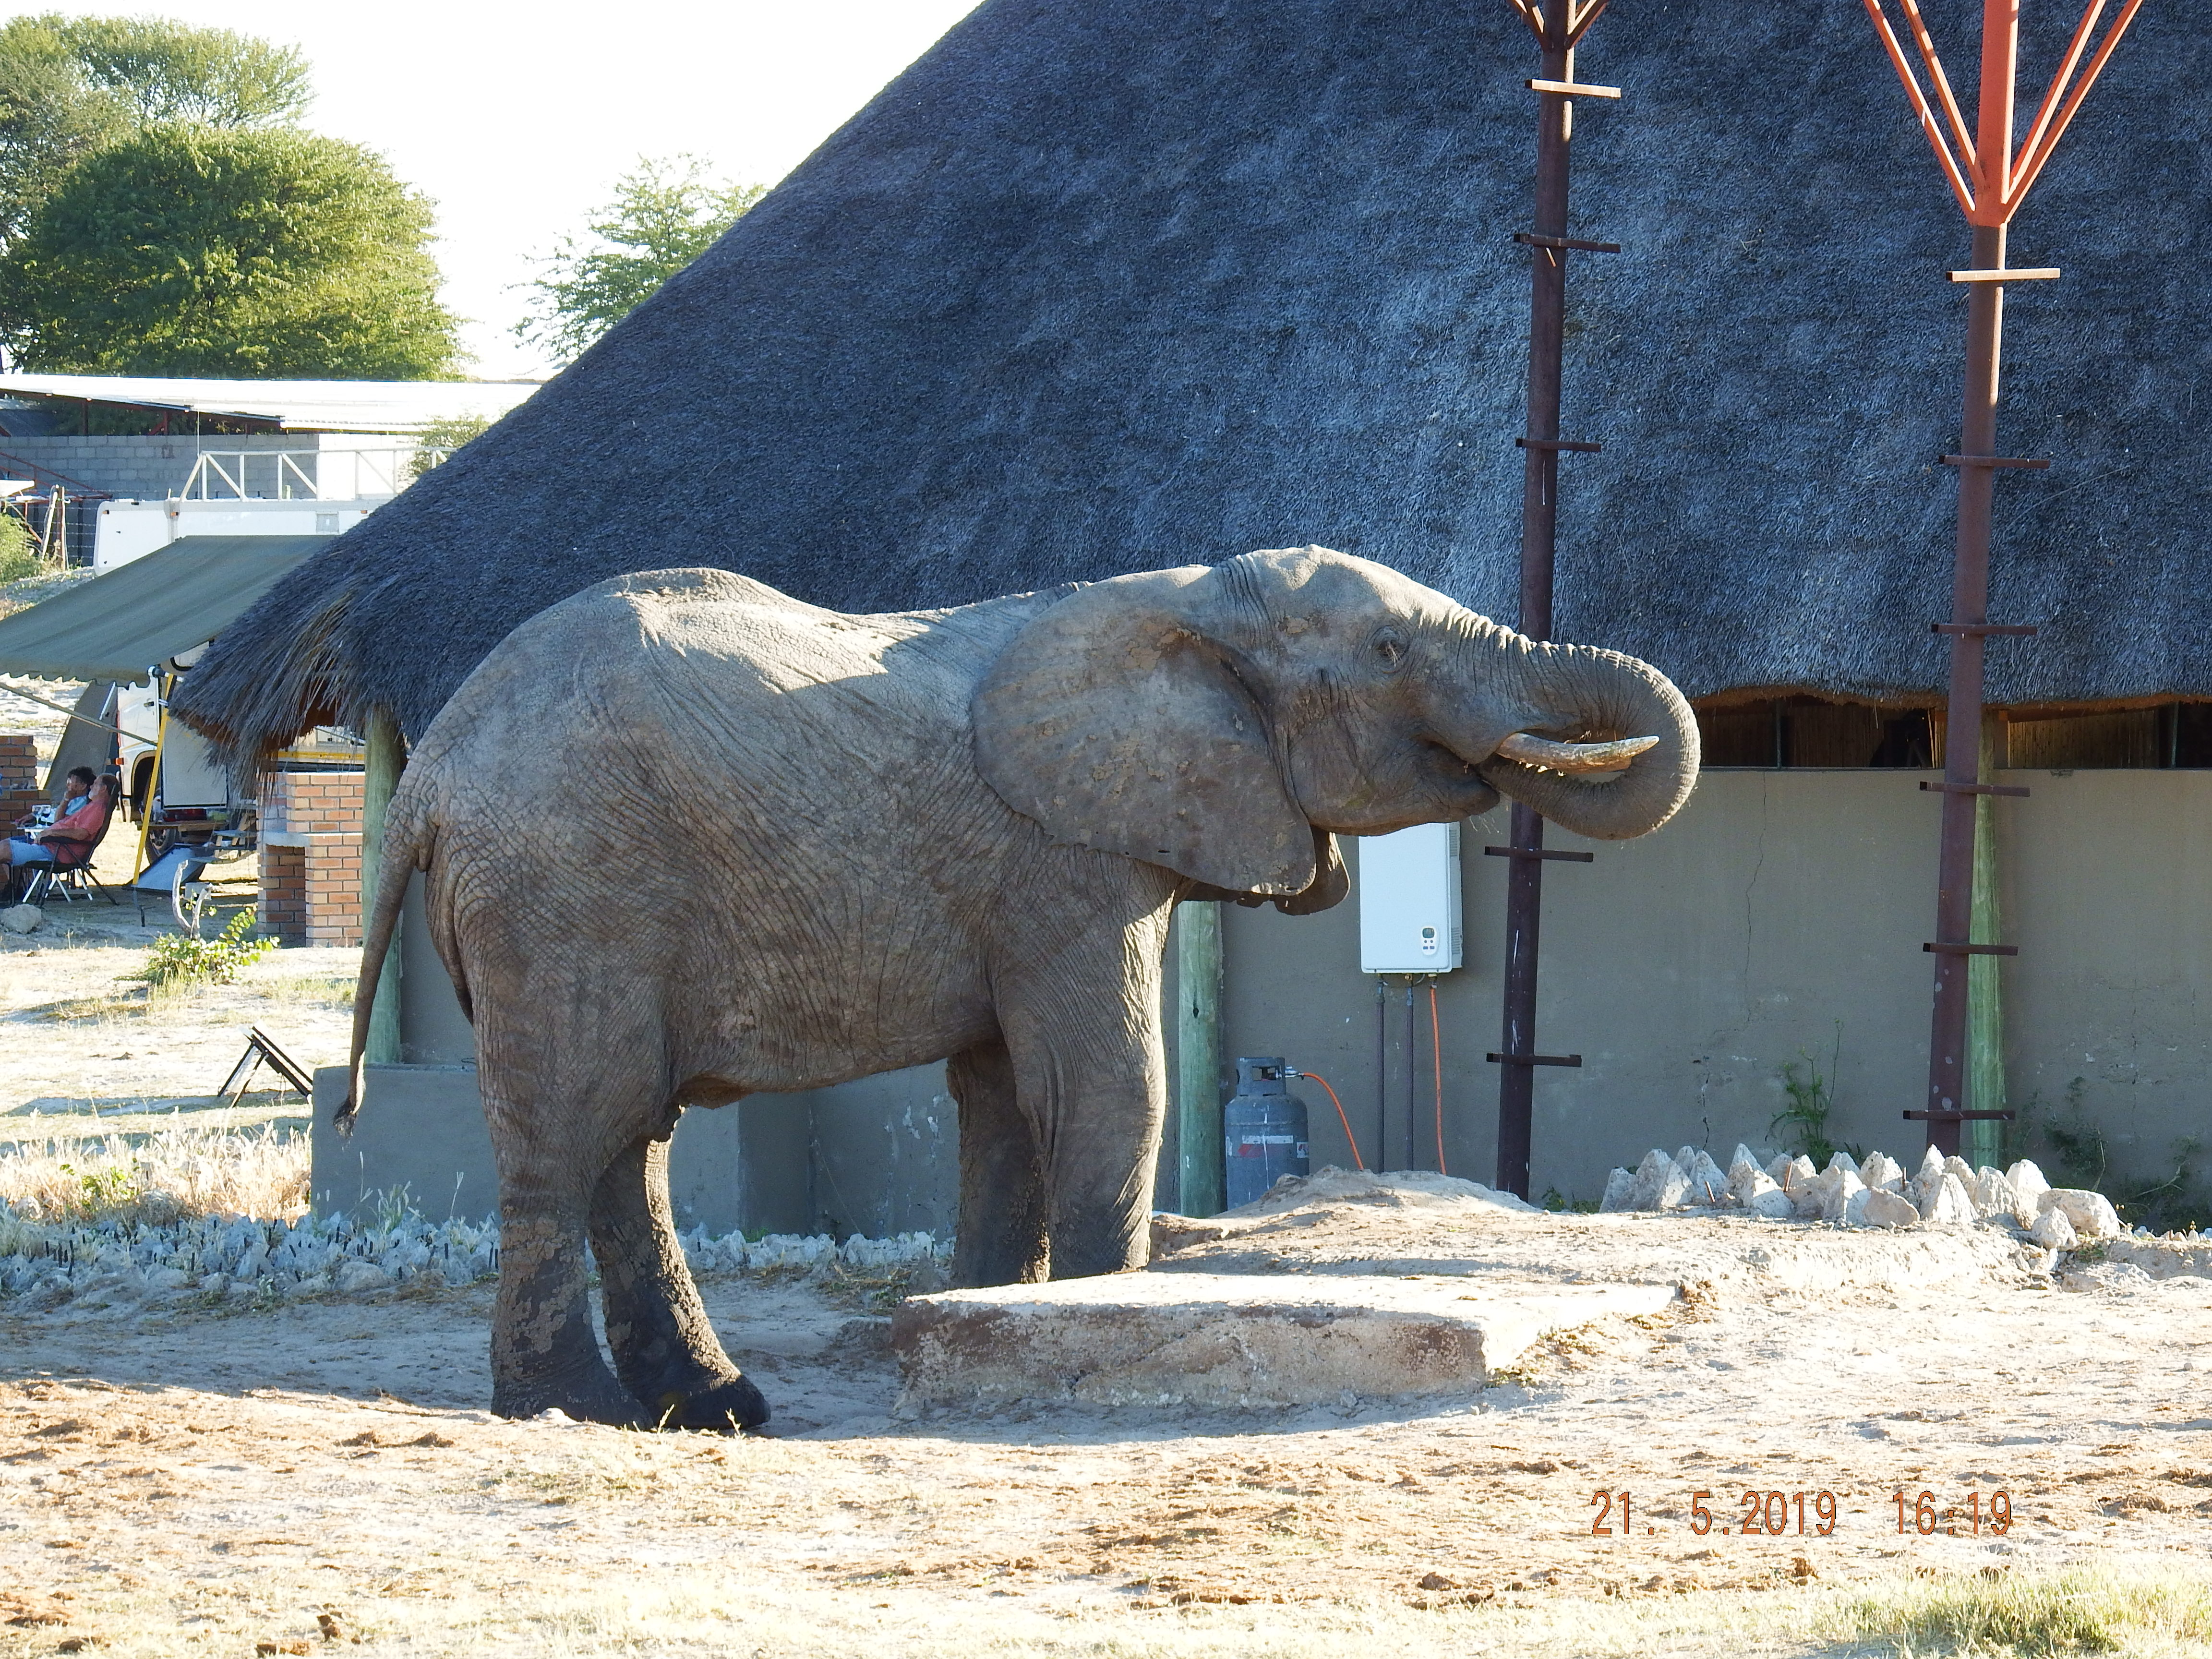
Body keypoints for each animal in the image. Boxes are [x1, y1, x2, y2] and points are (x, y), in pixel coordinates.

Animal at [341, 545, 1698, 1429]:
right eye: (1387, 649)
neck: (1180, 595)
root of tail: (430, 771)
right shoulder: (1065, 856)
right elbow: (1107, 1087)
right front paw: (1097, 1306)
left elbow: (1000, 1096)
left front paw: (983, 1305)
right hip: (566, 896)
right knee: (572, 1132)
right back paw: (565, 1408)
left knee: (629, 1140)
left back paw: (712, 1407)